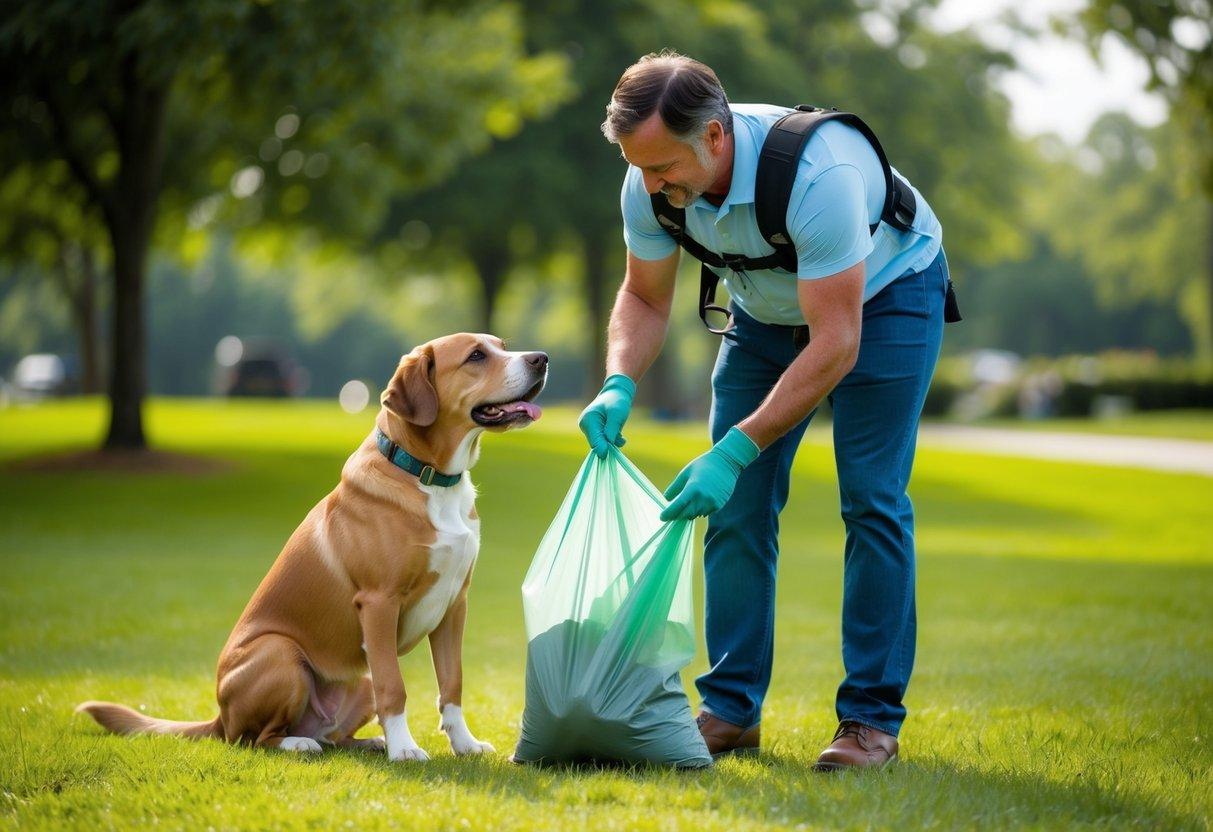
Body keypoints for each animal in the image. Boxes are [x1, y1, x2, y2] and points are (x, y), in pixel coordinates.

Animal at [77, 334, 550, 761]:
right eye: (476, 356)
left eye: (501, 345)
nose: (541, 359)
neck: (429, 477)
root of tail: (218, 715)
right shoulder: (378, 604)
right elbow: (396, 688)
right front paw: (405, 749)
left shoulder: (455, 605)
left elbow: (452, 684)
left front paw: (464, 744)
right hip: (282, 654)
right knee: (253, 738)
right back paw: (302, 744)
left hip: (358, 676)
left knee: (334, 737)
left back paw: (367, 742)